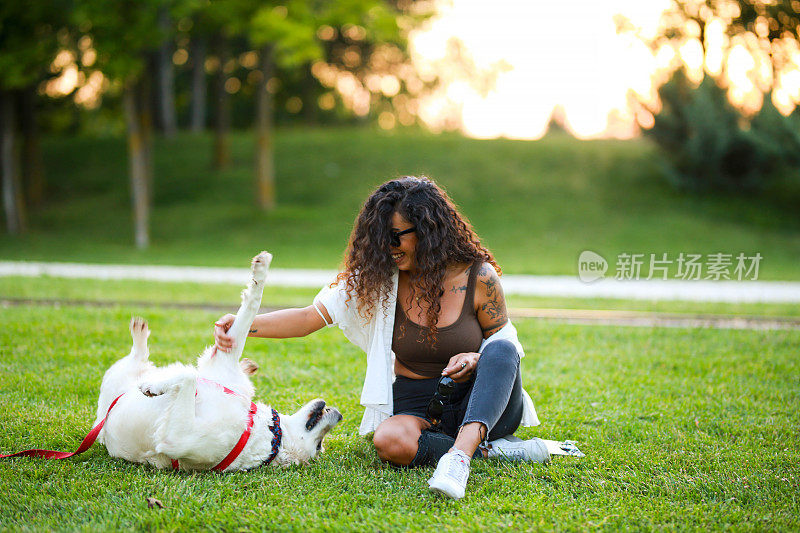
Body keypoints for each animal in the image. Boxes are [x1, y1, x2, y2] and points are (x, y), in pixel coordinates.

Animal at [92, 251, 342, 472]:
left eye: (318, 446)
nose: (339, 414)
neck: (266, 432)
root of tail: (101, 424)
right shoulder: (224, 358)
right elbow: (251, 305)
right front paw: (261, 268)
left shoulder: (178, 438)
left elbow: (189, 375)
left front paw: (153, 386)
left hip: (115, 379)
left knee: (137, 357)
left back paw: (140, 339)